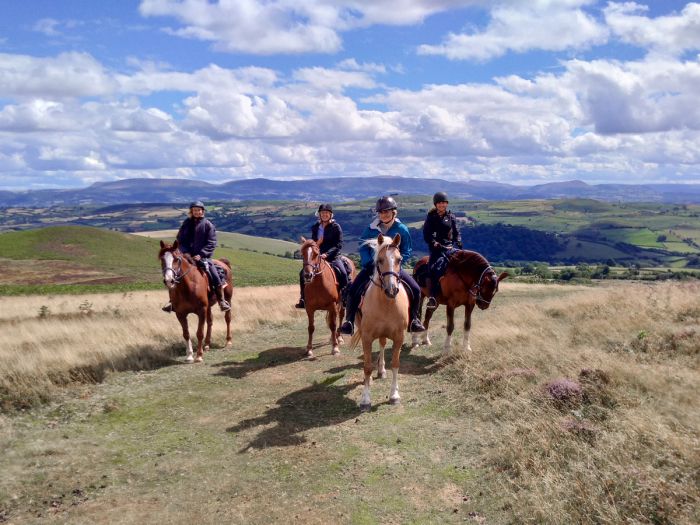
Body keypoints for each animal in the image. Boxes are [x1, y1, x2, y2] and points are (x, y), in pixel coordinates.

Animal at [350, 232, 410, 410]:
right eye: (380, 260)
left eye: (399, 259)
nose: (392, 290)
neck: (386, 303)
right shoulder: (367, 337)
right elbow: (367, 366)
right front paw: (365, 399)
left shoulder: (399, 337)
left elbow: (395, 364)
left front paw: (394, 395)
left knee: (383, 345)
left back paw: (382, 370)